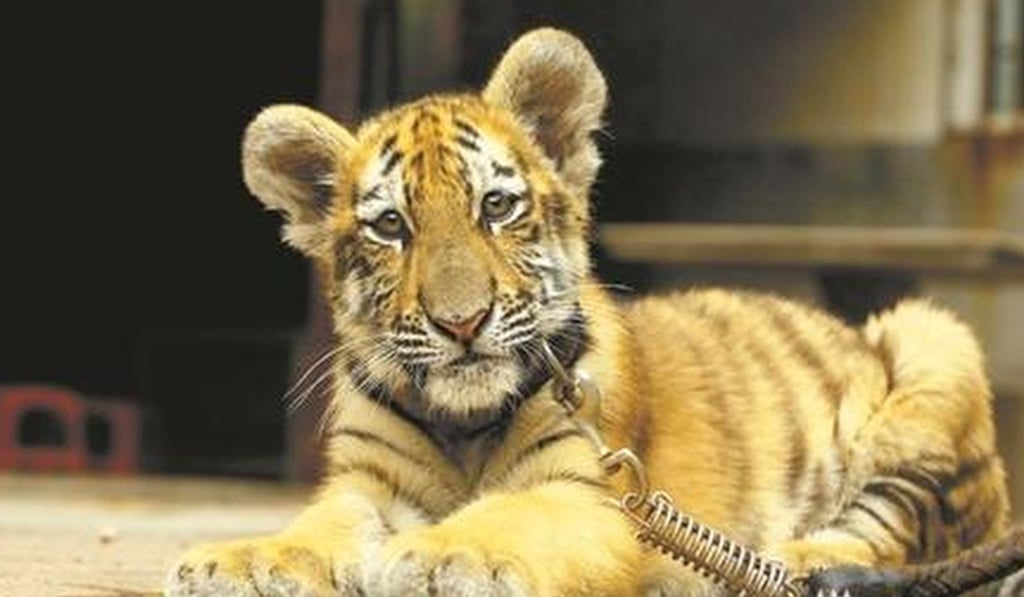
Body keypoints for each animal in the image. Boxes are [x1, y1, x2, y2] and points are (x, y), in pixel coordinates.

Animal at [166, 28, 1012, 596]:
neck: (463, 423)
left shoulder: (592, 495)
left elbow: (510, 516)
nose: (461, 322)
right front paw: (240, 559)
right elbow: (319, 524)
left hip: (931, 340)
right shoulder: (366, 482)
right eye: (391, 226)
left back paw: (799, 559)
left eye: (496, 206)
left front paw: (441, 555)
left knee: (891, 531)